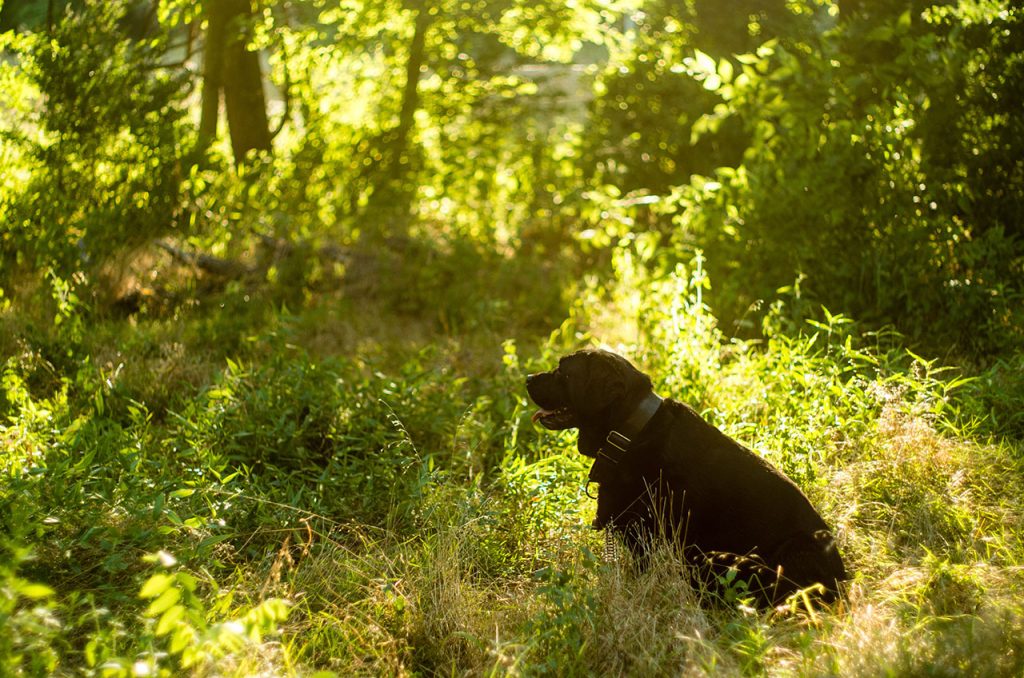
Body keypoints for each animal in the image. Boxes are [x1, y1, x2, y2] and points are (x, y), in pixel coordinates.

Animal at [528, 350, 847, 606]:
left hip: (796, 548)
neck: (630, 433)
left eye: (563, 371)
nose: (528, 378)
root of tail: (843, 582)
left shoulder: (649, 539)